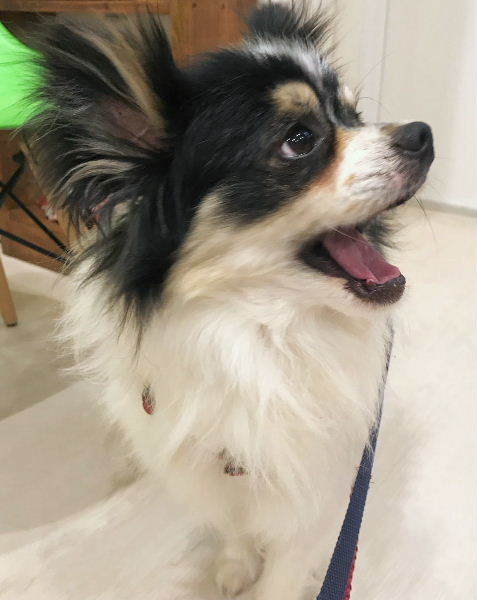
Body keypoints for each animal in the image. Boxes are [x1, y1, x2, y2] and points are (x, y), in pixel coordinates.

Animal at [26, 4, 434, 598]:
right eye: (299, 139)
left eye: (354, 115)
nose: (423, 133)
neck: (255, 332)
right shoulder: (219, 472)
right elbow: (233, 527)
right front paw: (234, 565)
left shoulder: (309, 493)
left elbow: (284, 573)